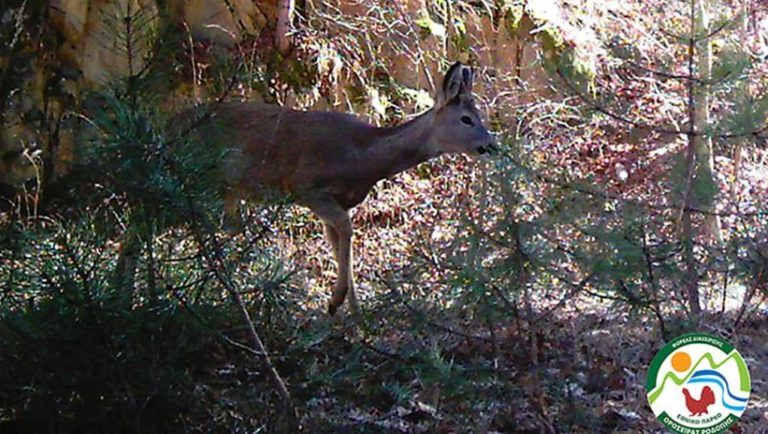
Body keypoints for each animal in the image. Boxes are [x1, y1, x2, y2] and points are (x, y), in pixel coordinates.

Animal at [183, 61, 496, 314]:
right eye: (466, 119)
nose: (491, 145)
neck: (363, 158)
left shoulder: (338, 202)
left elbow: (340, 244)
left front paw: (357, 320)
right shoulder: (306, 186)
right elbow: (346, 229)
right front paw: (336, 301)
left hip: (227, 191)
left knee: (225, 226)